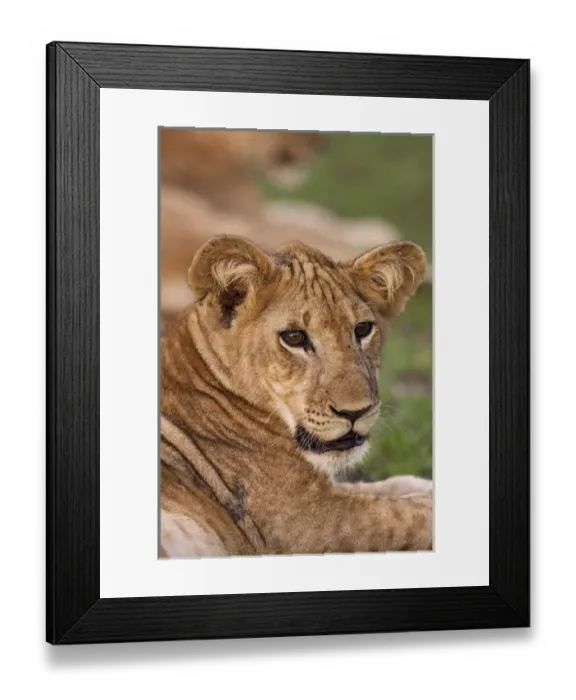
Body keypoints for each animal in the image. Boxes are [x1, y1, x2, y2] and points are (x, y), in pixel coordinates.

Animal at [160, 235, 432, 558]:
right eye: (293, 337)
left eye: (363, 329)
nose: (355, 412)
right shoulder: (302, 521)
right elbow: (404, 515)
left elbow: (384, 487)